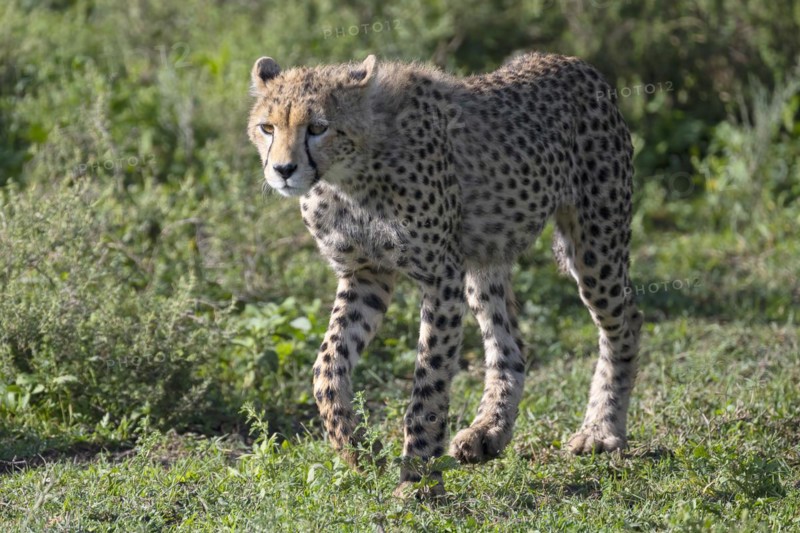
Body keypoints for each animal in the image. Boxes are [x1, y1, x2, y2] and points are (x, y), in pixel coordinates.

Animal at [246, 52, 643, 497]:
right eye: (267, 127)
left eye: (317, 127)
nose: (283, 169)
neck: (348, 176)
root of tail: (570, 60)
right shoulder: (366, 274)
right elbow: (327, 363)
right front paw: (355, 446)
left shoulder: (439, 277)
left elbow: (430, 381)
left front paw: (418, 478)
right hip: (484, 261)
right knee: (510, 344)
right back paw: (488, 431)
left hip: (595, 247)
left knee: (626, 322)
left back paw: (601, 430)